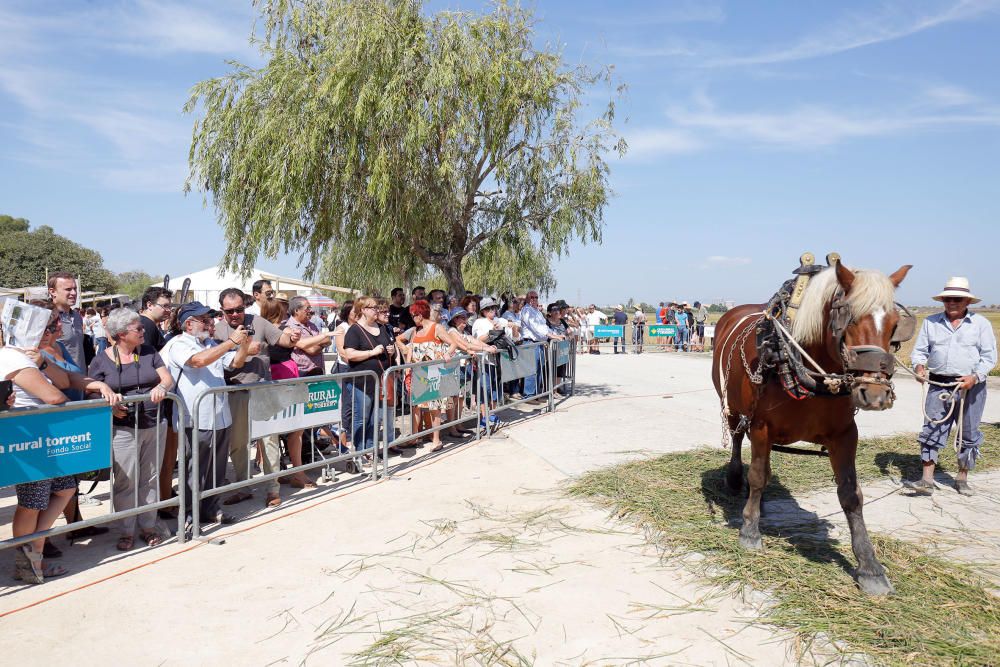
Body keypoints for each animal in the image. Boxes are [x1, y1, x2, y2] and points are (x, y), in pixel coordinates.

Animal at [712, 260, 916, 596]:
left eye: (894, 323)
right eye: (849, 318)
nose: (876, 394)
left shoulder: (844, 434)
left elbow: (850, 494)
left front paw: (869, 566)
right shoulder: (761, 426)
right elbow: (757, 476)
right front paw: (750, 530)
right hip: (731, 405)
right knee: (739, 440)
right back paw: (735, 478)